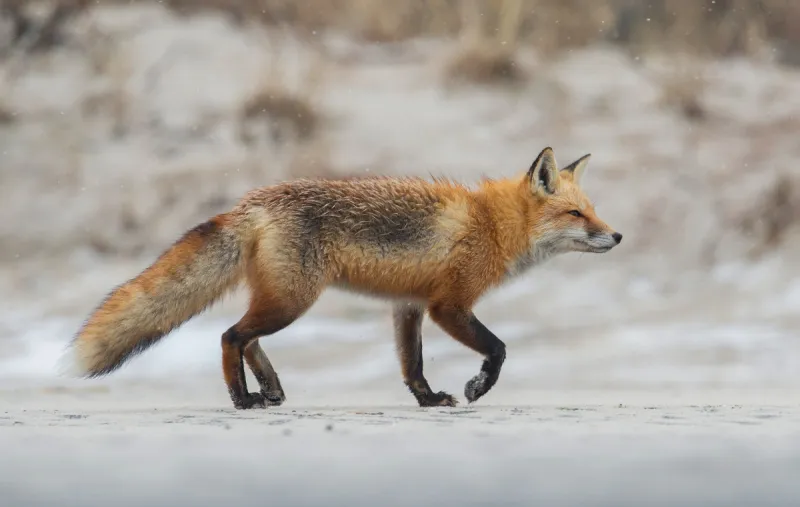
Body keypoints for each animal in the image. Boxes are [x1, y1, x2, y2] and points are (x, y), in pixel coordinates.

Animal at [69, 146, 620, 408]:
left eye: (593, 210)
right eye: (576, 214)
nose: (616, 236)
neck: (491, 223)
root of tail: (251, 202)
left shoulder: (408, 305)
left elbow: (412, 365)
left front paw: (428, 401)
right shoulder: (448, 305)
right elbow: (499, 349)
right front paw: (477, 388)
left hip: (281, 298)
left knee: (246, 338)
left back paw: (268, 389)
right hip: (294, 301)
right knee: (230, 336)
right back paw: (242, 398)